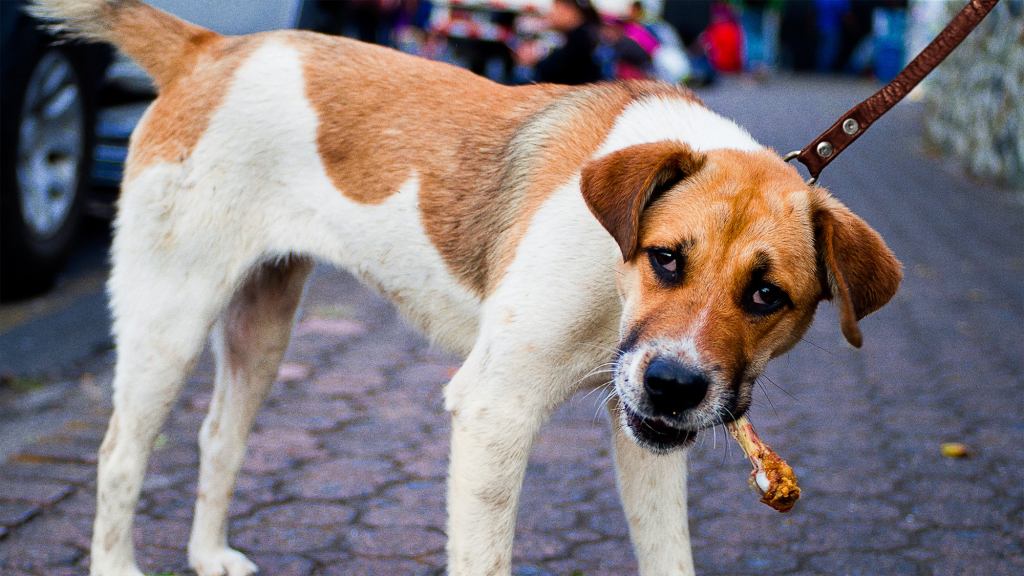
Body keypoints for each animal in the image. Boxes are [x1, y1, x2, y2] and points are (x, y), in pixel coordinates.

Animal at [28, 1, 901, 573]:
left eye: (767, 297)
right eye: (666, 259)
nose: (676, 385)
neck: (609, 259)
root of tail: (209, 48)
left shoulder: (644, 434)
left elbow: (668, 554)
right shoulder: (493, 412)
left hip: (264, 322)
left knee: (218, 436)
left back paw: (209, 556)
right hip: (169, 316)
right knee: (119, 456)